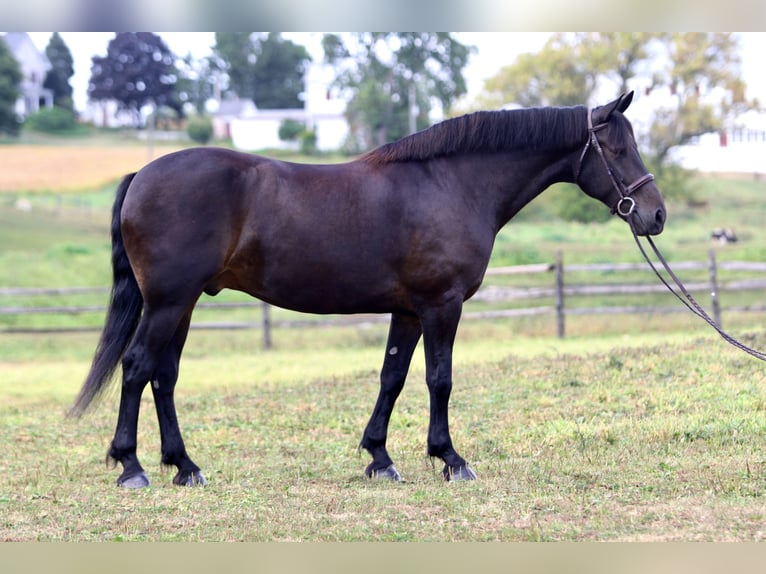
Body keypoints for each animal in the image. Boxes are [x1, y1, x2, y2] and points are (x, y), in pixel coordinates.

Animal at [70, 92, 666, 487]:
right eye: (616, 149)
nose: (655, 215)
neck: (449, 184)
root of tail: (143, 174)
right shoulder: (441, 305)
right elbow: (439, 380)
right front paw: (450, 459)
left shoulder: (408, 311)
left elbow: (392, 378)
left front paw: (380, 458)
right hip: (169, 302)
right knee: (138, 368)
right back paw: (132, 466)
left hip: (183, 304)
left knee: (164, 377)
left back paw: (184, 466)